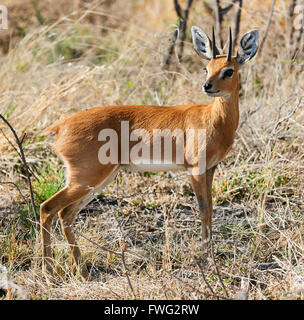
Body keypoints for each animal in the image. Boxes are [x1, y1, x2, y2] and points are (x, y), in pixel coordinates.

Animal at [40, 26, 258, 278]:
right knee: (48, 208)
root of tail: (60, 127)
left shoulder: (210, 168)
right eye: (207, 68)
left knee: (66, 214)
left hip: (99, 179)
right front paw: (207, 261)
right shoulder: (194, 170)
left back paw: (82, 271)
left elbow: (211, 210)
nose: (207, 86)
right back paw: (48, 270)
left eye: (229, 70)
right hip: (87, 178)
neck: (213, 119)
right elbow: (203, 210)